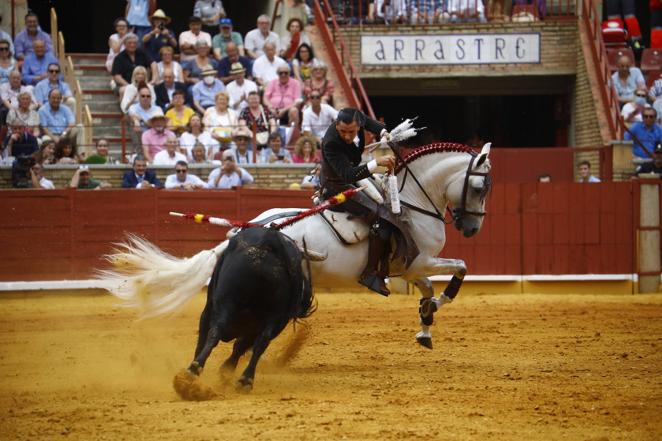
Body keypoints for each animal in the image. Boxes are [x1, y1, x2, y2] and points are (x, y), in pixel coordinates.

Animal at [104, 141, 492, 348]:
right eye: (479, 187)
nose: (472, 228)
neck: (410, 200)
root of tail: (243, 234)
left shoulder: (407, 270)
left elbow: (427, 291)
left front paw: (425, 326)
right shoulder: (418, 262)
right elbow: (460, 269)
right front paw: (440, 304)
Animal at [175, 227, 318, 396]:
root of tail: (270, 240)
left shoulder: (209, 308)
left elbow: (208, 338)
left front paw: (223, 370)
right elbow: (243, 345)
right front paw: (226, 371)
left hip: (228, 302)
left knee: (218, 332)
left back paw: (195, 371)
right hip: (275, 317)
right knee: (260, 342)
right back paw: (243, 380)